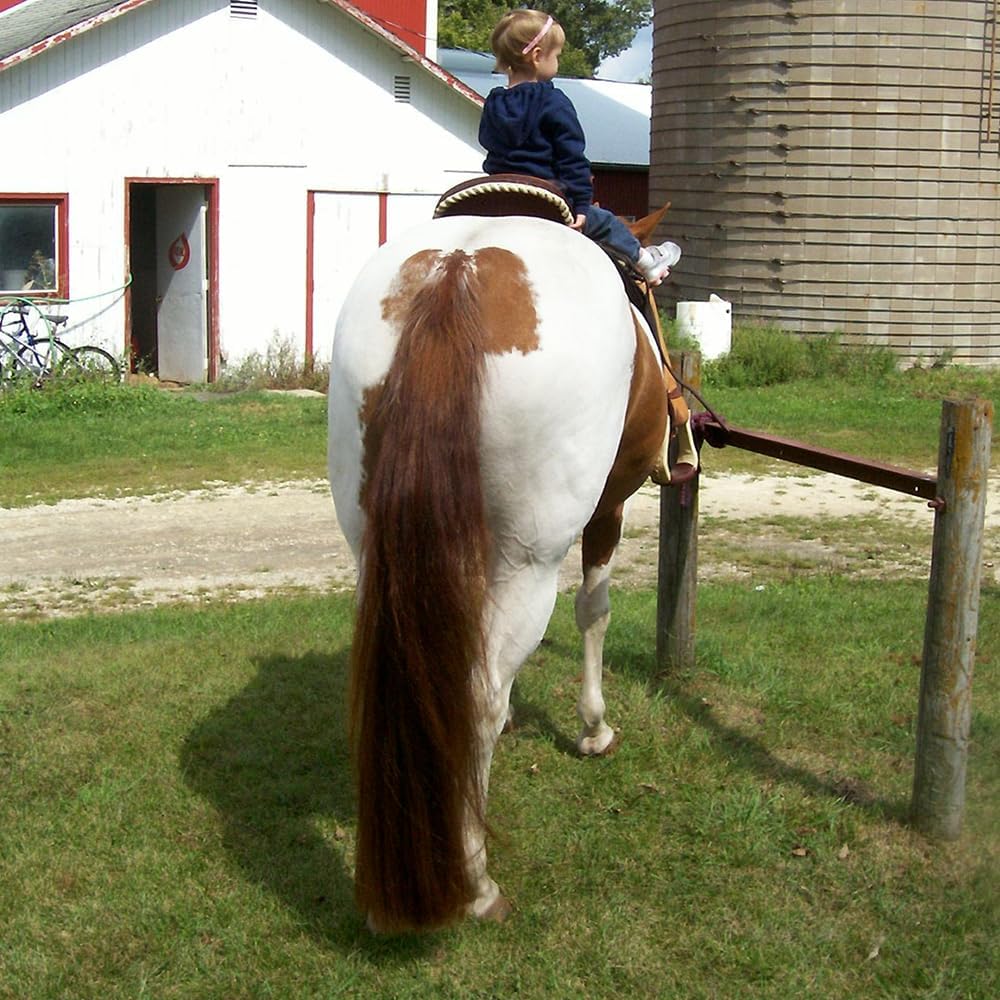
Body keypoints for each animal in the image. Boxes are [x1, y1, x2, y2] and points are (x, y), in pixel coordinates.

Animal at [327, 210, 673, 933]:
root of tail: (456, 272)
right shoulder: (608, 507)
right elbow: (594, 612)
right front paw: (594, 728)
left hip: (374, 547)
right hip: (531, 559)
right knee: (480, 691)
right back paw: (476, 883)